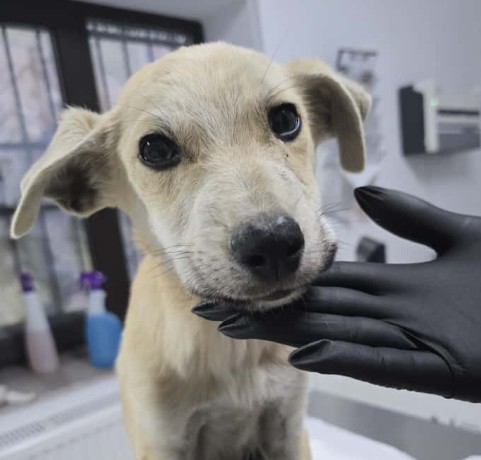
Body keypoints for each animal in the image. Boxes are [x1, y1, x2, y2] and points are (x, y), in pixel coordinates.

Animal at [11, 42, 369, 460]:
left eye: (286, 119)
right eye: (154, 149)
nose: (273, 243)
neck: (231, 353)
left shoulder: (288, 426)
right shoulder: (162, 439)